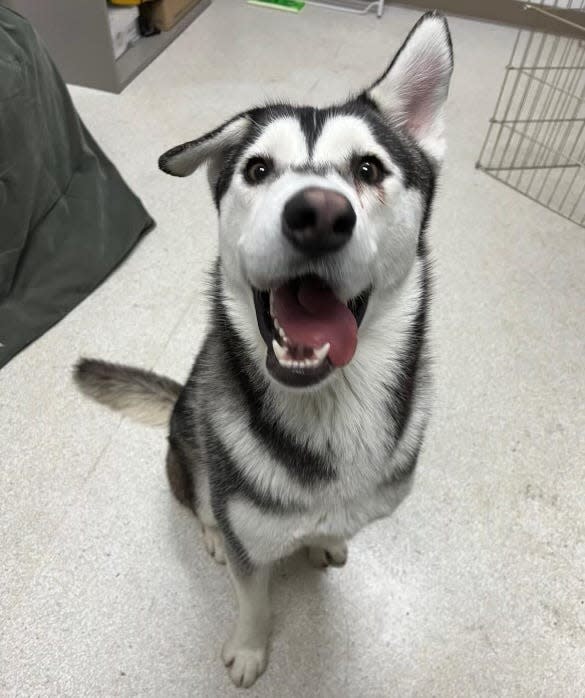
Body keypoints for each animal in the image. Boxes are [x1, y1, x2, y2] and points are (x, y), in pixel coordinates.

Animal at [75, 13, 452, 688]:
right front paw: (251, 649)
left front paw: (325, 541)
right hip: (187, 454)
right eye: (256, 170)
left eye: (368, 169)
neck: (331, 410)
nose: (319, 214)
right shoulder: (249, 540)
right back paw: (210, 533)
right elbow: (253, 596)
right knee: (203, 501)